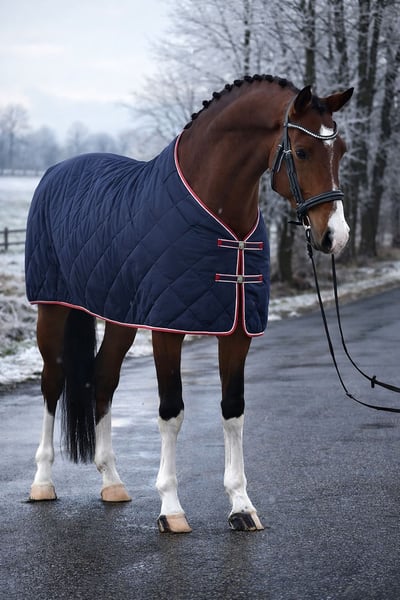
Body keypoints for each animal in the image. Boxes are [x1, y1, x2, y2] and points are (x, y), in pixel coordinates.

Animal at [25, 74, 353, 533]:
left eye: (341, 150)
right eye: (302, 150)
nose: (335, 237)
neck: (218, 215)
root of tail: (56, 170)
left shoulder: (237, 328)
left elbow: (233, 410)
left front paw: (241, 506)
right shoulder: (168, 329)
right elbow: (171, 411)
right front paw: (171, 508)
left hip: (120, 315)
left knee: (102, 379)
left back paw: (112, 482)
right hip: (52, 309)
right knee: (52, 383)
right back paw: (42, 481)